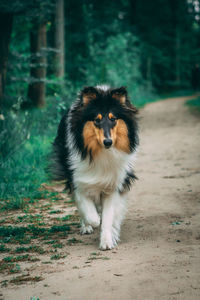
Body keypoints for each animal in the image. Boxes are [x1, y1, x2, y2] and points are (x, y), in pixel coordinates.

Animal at [50, 85, 138, 250]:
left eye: (113, 119)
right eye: (97, 120)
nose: (108, 142)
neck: (101, 154)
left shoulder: (113, 186)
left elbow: (108, 217)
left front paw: (107, 241)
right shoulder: (78, 181)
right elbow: (91, 215)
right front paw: (92, 223)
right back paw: (86, 227)